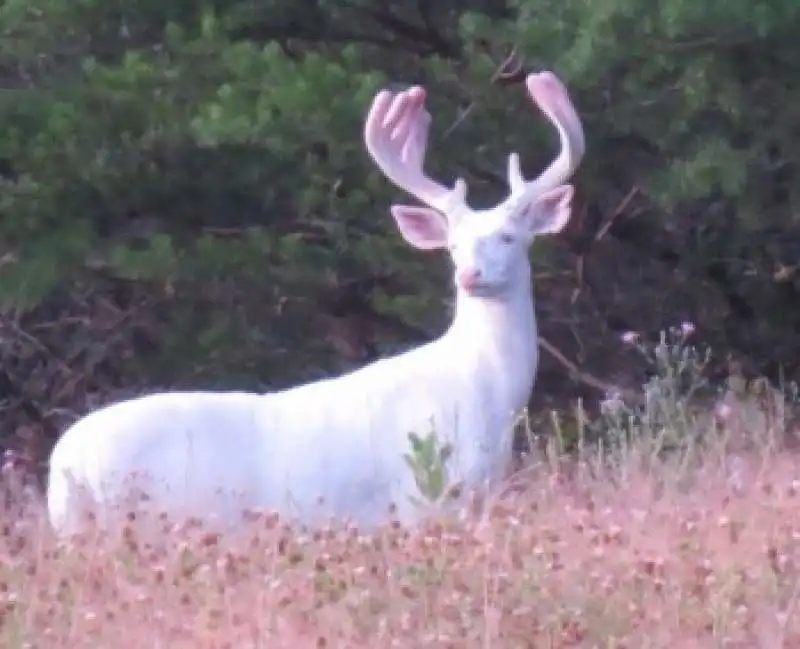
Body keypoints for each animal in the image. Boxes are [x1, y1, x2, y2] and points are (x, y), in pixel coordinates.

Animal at [48, 72, 588, 536]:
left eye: (509, 237)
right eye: (453, 246)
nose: (469, 274)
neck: (488, 395)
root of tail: (64, 464)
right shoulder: (424, 499)